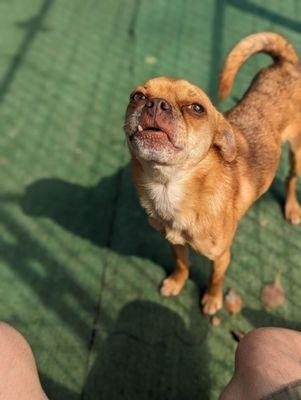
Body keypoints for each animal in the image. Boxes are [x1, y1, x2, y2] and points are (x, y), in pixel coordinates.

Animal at [123, 32, 300, 314]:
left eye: (196, 108)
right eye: (137, 96)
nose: (156, 104)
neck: (169, 187)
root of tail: (286, 63)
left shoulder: (221, 257)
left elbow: (216, 278)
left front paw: (212, 299)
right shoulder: (174, 242)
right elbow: (182, 263)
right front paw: (177, 282)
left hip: (297, 152)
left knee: (291, 177)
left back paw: (292, 208)